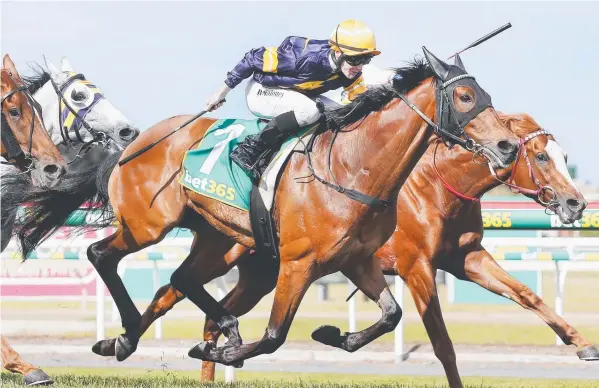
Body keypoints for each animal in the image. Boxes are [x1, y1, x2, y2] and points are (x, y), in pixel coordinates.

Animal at [16, 48, 516, 364]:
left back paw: (137, 339)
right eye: (466, 97)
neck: (354, 168)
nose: (508, 146)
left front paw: (333, 334)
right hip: (148, 225)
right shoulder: (298, 263)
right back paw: (141, 333)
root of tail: (132, 143)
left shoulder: (355, 259)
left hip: (217, 239)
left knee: (178, 280)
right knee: (102, 255)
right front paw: (226, 351)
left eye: (487, 97)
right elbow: (275, 336)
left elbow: (391, 314)